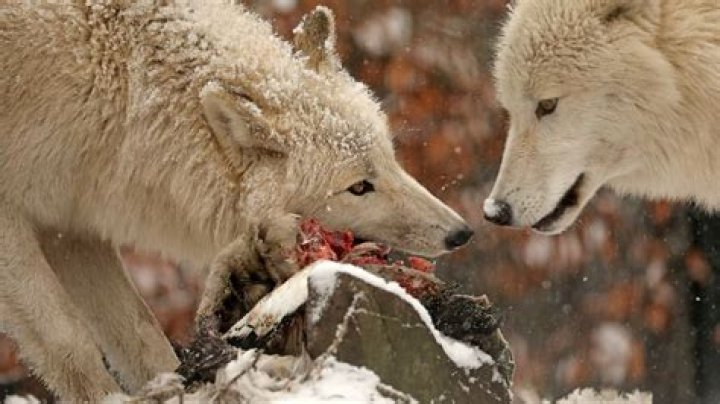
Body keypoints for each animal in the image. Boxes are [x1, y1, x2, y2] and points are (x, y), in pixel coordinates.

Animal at [0, 2, 473, 400]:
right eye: (359, 187)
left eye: (390, 160)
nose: (461, 233)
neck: (119, 91)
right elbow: (69, 339)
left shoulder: (72, 225)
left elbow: (140, 331)